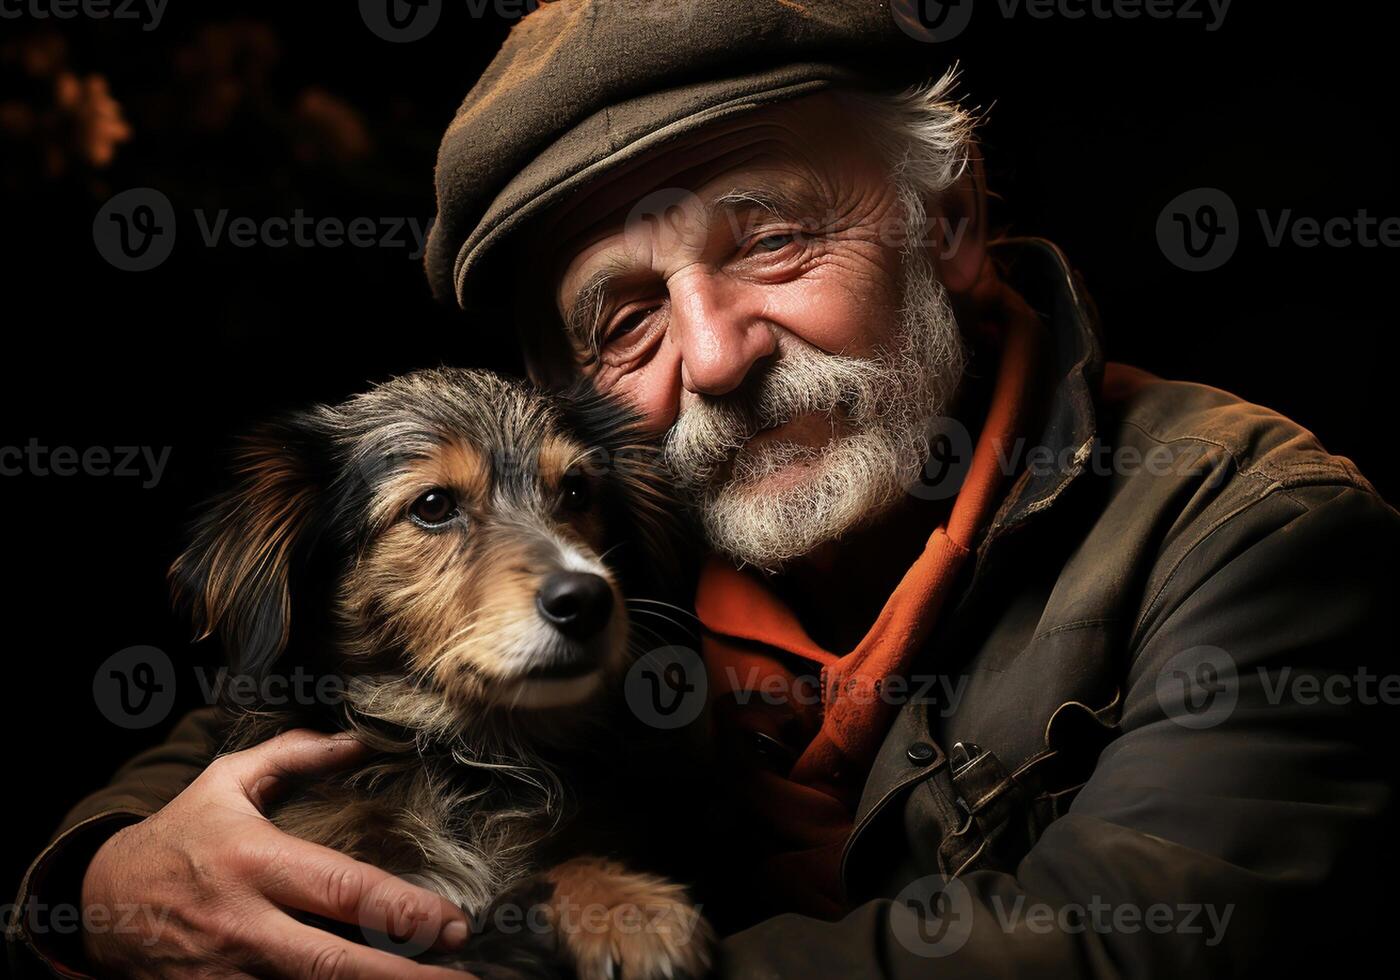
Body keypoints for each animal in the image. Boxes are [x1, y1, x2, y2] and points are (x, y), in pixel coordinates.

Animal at [172, 369, 711, 980]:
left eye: (576, 489)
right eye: (432, 505)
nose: (588, 600)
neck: (466, 761)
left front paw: (623, 905)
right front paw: (627, 910)